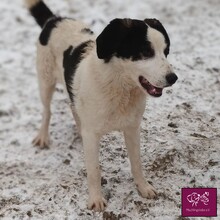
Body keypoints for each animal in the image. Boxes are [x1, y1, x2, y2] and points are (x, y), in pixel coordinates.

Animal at [24, 0, 178, 211]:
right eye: (146, 51)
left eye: (166, 52)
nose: (173, 78)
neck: (119, 86)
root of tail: (55, 19)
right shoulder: (92, 135)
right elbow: (94, 170)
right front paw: (96, 199)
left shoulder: (132, 128)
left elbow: (137, 163)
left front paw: (143, 187)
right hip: (45, 82)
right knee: (47, 111)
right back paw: (42, 136)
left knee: (73, 108)